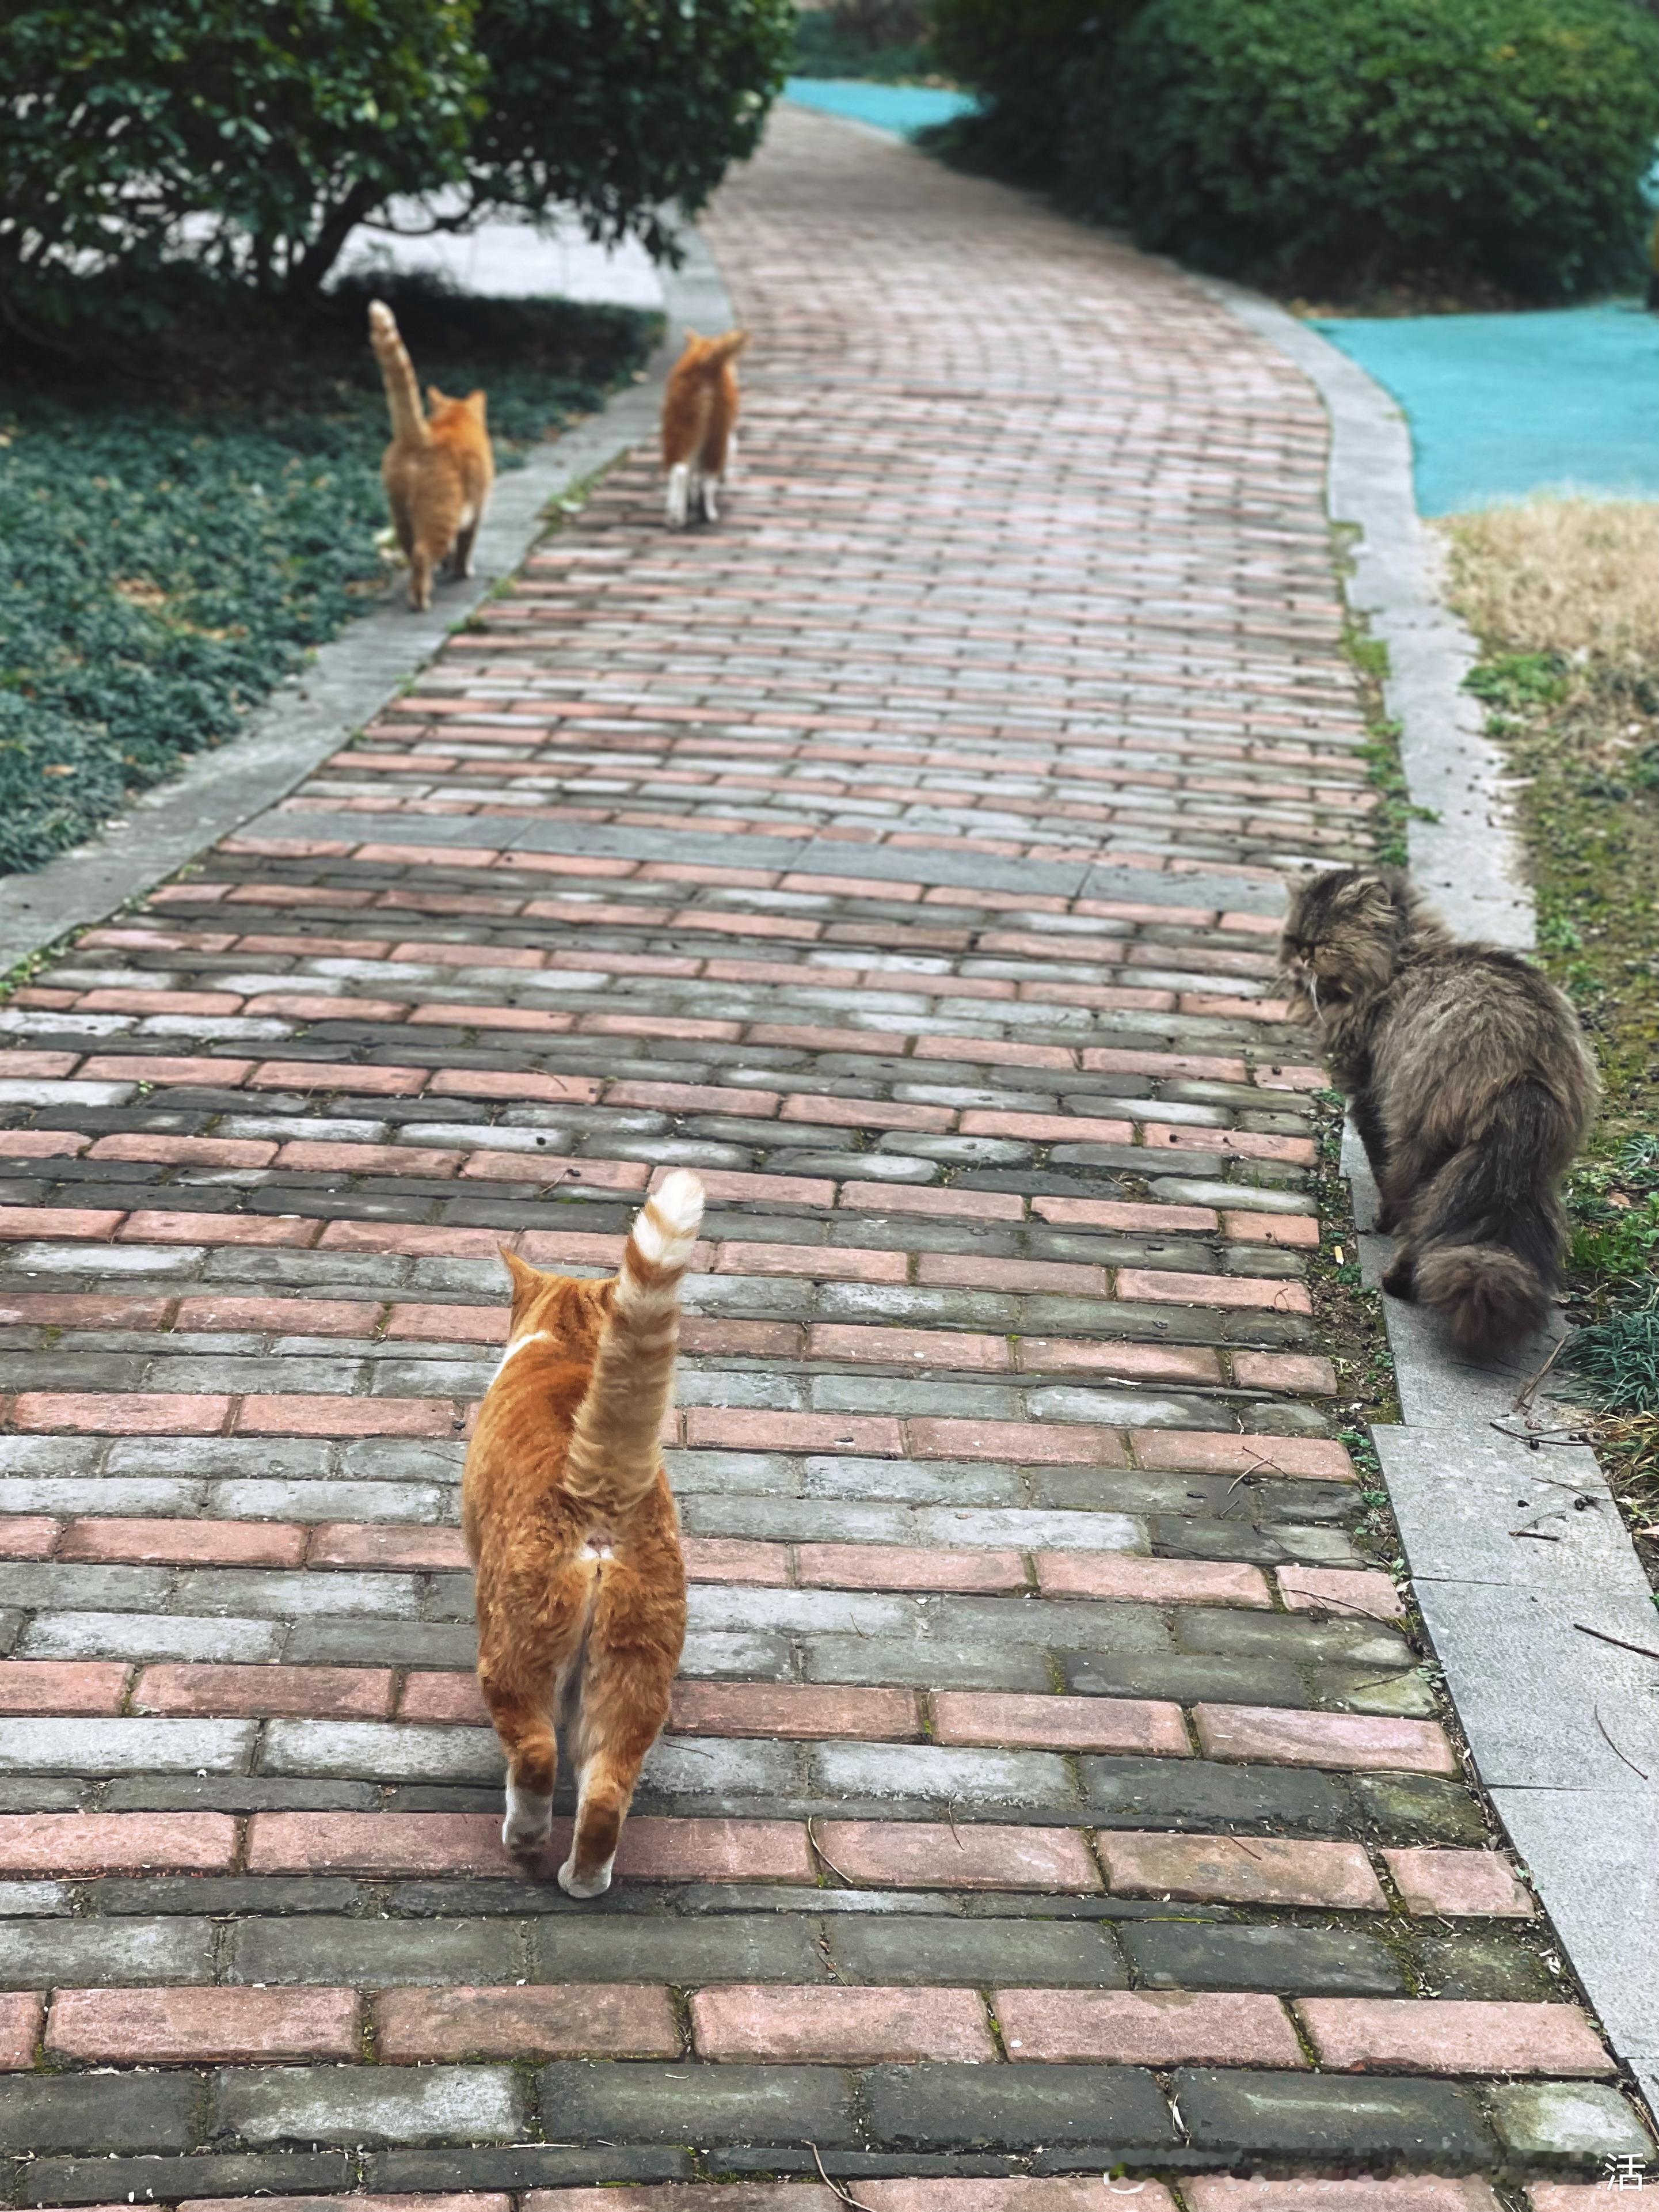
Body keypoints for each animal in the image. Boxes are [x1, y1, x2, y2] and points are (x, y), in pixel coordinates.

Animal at [367, 298, 491, 615]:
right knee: (423, 553)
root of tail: (421, 436)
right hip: (441, 514)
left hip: (401, 512)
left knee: (411, 550)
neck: (454, 419)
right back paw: (421, 600)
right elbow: (465, 546)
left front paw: (446, 566)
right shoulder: (476, 511)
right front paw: (461, 571)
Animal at [462, 1168, 707, 1893]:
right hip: (634, 1669)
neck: (569, 1345)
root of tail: (599, 1492)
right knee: (606, 1791)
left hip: (516, 1650)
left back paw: (524, 1841)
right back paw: (584, 1876)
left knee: (537, 1755)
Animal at [659, 325, 752, 529]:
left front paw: (689, 500)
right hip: (716, 437)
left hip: (680, 428)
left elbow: (692, 473)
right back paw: (708, 514)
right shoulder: (727, 439)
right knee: (704, 478)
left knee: (679, 470)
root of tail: (705, 363)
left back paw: (676, 516)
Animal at [1283, 858, 1601, 1344]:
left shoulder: (1370, 1097)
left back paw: (1397, 1281)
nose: (1300, 958)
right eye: (1297, 940)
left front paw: (1382, 1221)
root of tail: (1523, 1072)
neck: (1401, 960)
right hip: (1524, 1170)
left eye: (1322, 945)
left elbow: (1381, 1169)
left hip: (1422, 1136)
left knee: (1419, 1214)